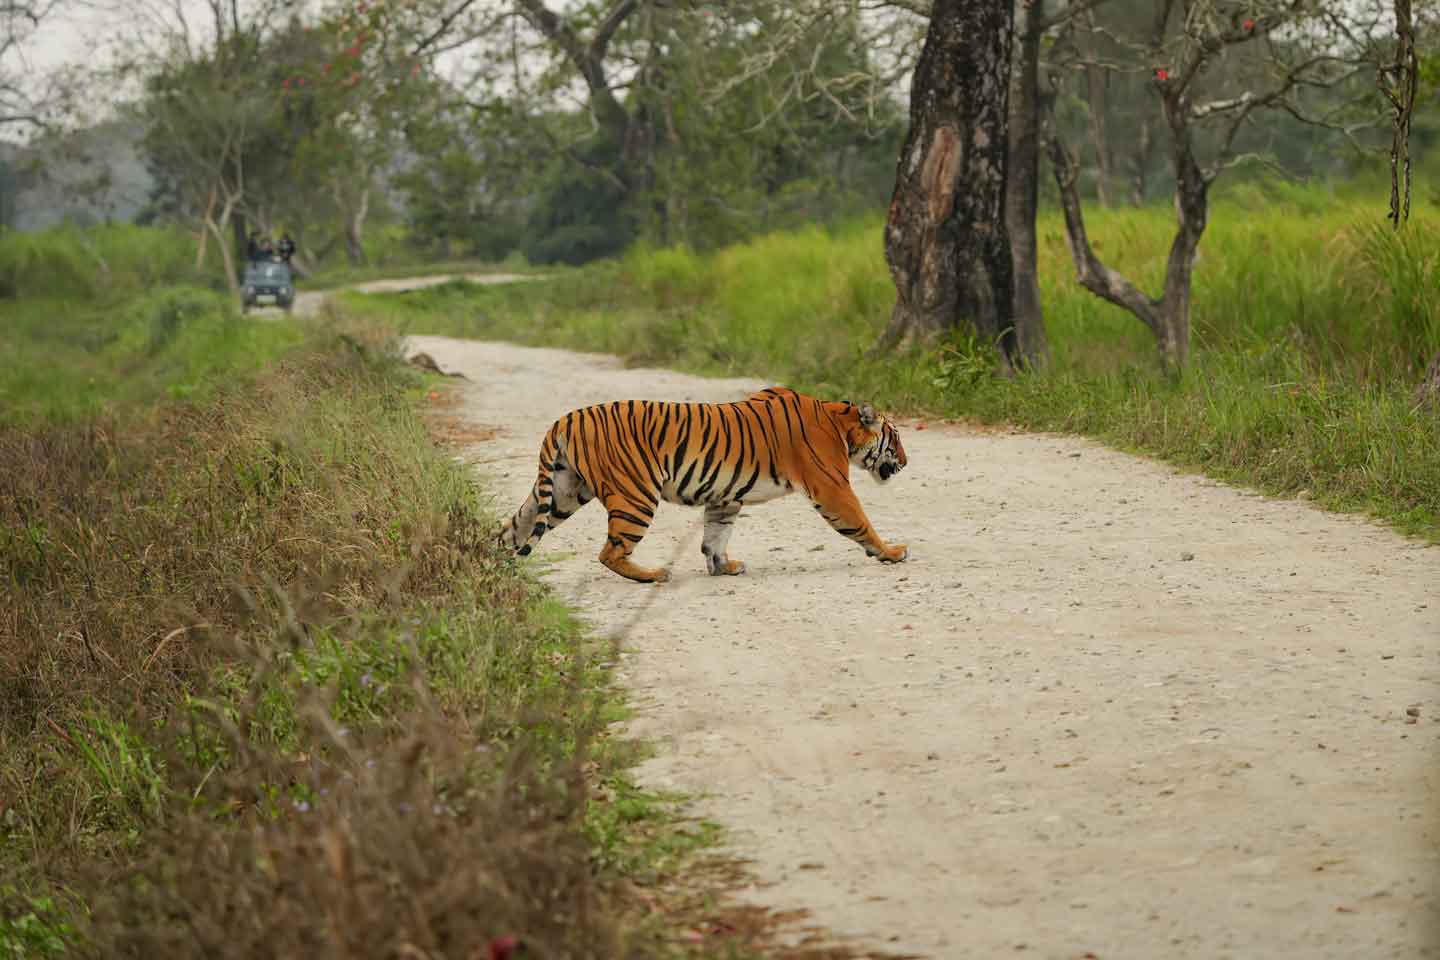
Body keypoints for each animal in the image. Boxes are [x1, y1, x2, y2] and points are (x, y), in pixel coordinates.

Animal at [498, 386, 909, 583]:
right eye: (897, 437)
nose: (905, 463)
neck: (838, 422)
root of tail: (564, 420)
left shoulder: (725, 496)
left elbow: (715, 536)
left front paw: (723, 567)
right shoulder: (832, 487)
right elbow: (860, 521)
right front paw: (891, 552)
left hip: (562, 491)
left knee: (512, 529)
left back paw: (494, 567)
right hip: (635, 496)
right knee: (609, 552)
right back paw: (653, 576)